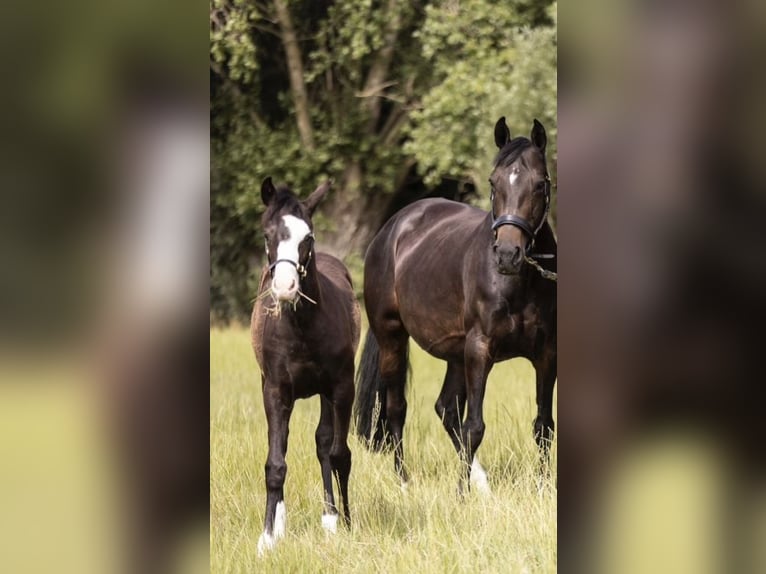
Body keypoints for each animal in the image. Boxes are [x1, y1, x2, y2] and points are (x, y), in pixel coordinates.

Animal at [251, 177, 361, 554]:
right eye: (267, 234)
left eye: (308, 237)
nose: (285, 287)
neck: (302, 327)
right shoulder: (274, 390)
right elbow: (275, 462)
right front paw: (267, 538)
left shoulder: (341, 388)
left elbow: (338, 454)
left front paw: (346, 523)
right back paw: (281, 523)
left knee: (324, 443)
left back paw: (330, 519)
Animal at [354, 117, 557, 492]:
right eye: (493, 182)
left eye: (539, 184)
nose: (508, 255)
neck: (517, 283)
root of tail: (391, 229)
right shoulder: (480, 349)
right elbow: (474, 425)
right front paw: (460, 493)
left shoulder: (546, 354)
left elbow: (543, 425)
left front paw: (542, 486)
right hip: (394, 338)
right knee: (397, 408)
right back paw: (404, 482)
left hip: (455, 354)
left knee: (445, 408)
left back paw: (482, 483)